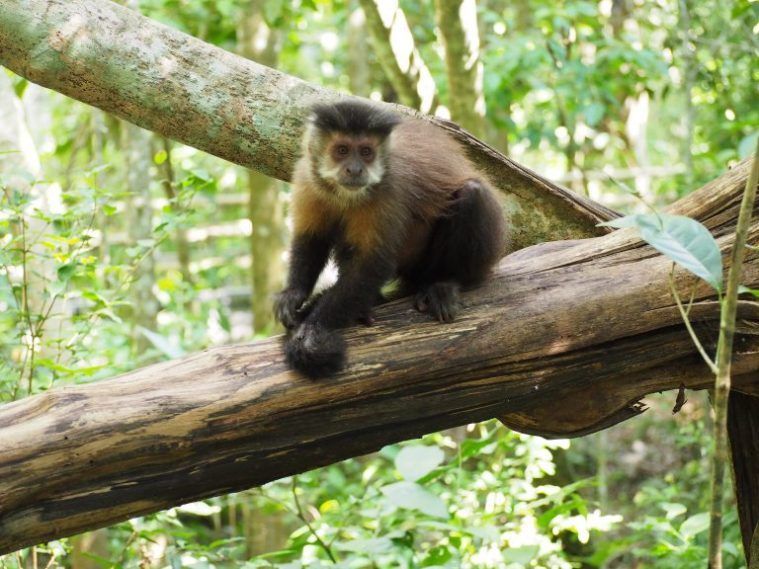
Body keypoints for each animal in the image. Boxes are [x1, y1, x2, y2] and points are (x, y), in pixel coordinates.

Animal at [274, 99, 507, 378]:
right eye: (342, 150)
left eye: (366, 152)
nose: (355, 169)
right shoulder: (308, 178)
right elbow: (311, 240)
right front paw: (293, 295)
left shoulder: (389, 188)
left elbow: (373, 264)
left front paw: (314, 329)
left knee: (473, 194)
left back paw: (446, 283)